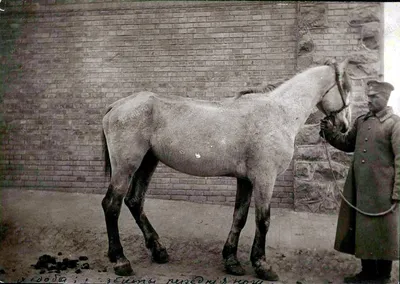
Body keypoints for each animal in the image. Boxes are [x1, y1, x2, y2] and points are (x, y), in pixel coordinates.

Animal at [101, 58, 354, 280]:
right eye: (347, 89)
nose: (345, 126)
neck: (278, 113)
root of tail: (116, 106)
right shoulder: (265, 178)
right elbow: (263, 220)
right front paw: (262, 265)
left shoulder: (246, 180)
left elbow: (239, 218)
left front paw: (232, 261)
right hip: (126, 167)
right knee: (112, 205)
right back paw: (121, 260)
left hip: (147, 163)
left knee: (135, 201)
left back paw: (158, 251)